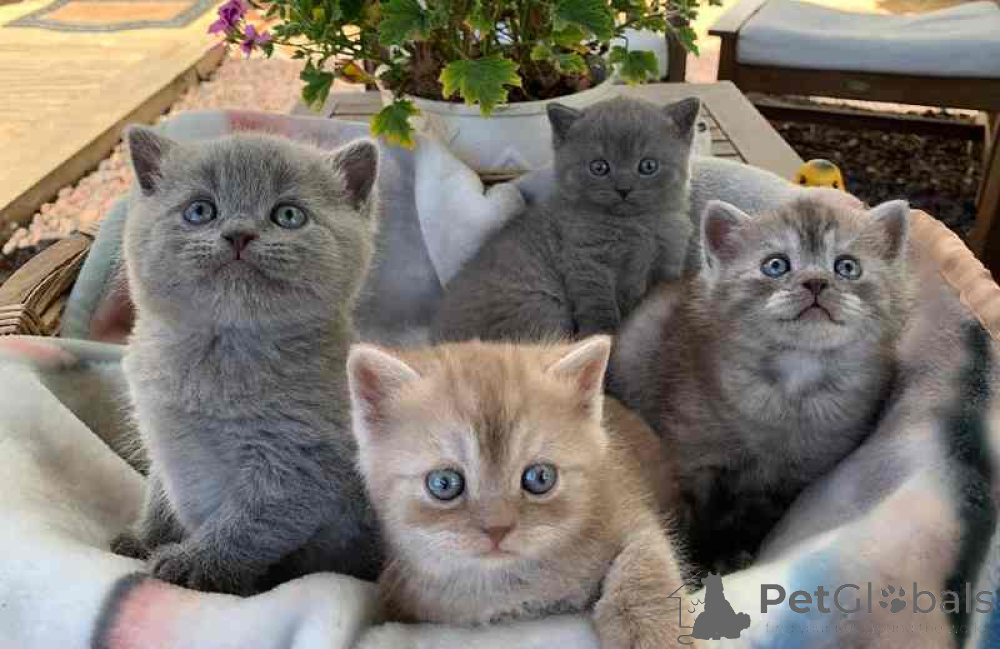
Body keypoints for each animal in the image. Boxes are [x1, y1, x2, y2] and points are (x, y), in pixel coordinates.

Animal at [111, 126, 384, 594]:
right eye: (200, 211)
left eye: (288, 215)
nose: (238, 233)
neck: (219, 357)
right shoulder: (161, 442)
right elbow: (158, 498)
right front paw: (144, 540)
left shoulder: (299, 469)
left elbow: (246, 527)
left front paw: (192, 565)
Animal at [346, 337, 684, 648]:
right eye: (444, 483)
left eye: (540, 478)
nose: (497, 529)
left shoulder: (627, 509)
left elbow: (644, 567)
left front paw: (654, 636)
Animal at [431, 95, 699, 343]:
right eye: (599, 167)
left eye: (648, 166)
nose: (623, 189)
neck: (636, 226)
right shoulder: (587, 262)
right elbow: (598, 306)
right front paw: (602, 337)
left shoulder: (668, 262)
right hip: (542, 308)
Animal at [610, 189, 913, 574]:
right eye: (776, 265)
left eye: (847, 267)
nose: (816, 282)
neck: (794, 379)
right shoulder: (695, 458)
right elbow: (701, 518)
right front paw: (701, 561)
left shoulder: (794, 478)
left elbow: (757, 520)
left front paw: (736, 553)